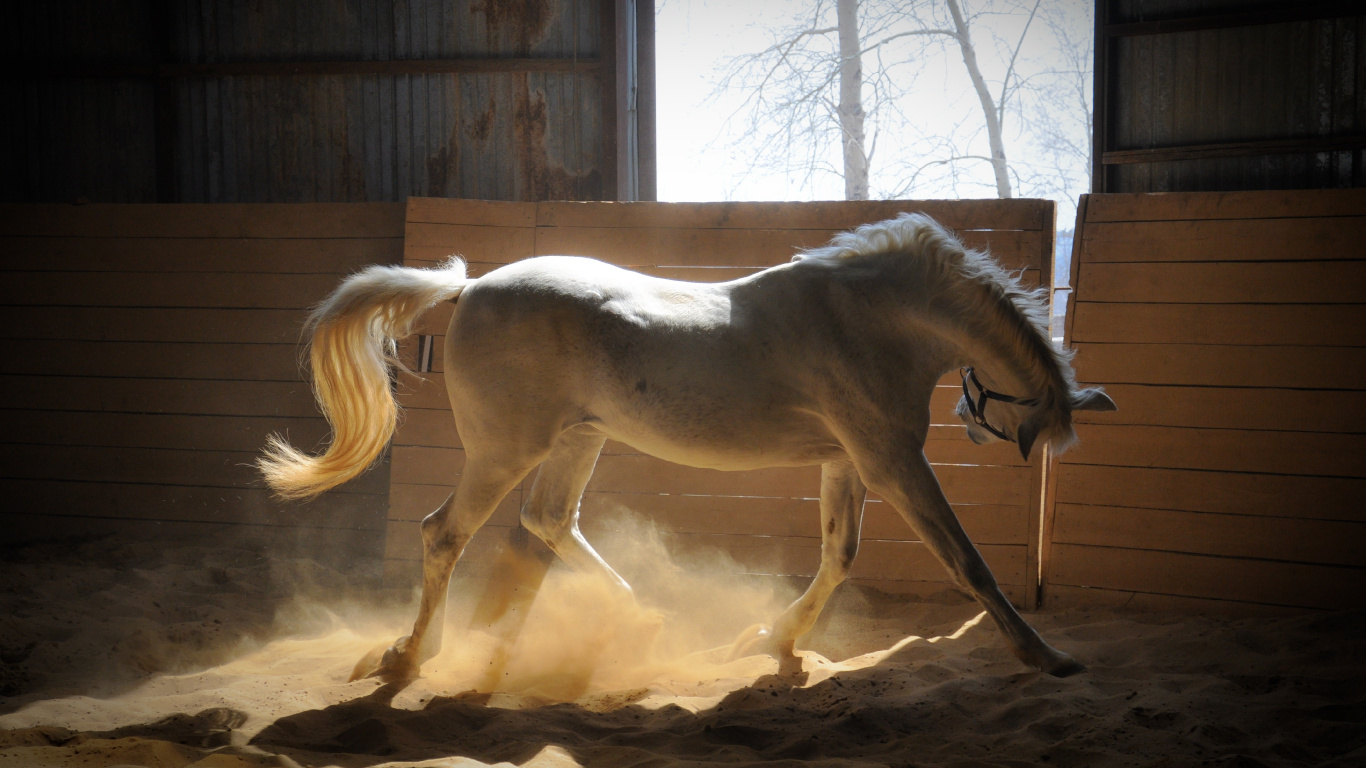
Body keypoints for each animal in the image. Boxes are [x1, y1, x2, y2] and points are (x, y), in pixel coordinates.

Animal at [259, 213, 1116, 683]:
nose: (977, 424)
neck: (868, 317)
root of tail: (469, 289)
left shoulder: (847, 463)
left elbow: (839, 556)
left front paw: (772, 640)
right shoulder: (892, 461)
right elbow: (967, 563)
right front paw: (1047, 656)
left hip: (577, 441)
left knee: (548, 522)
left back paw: (640, 619)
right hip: (504, 451)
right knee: (446, 533)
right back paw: (409, 657)